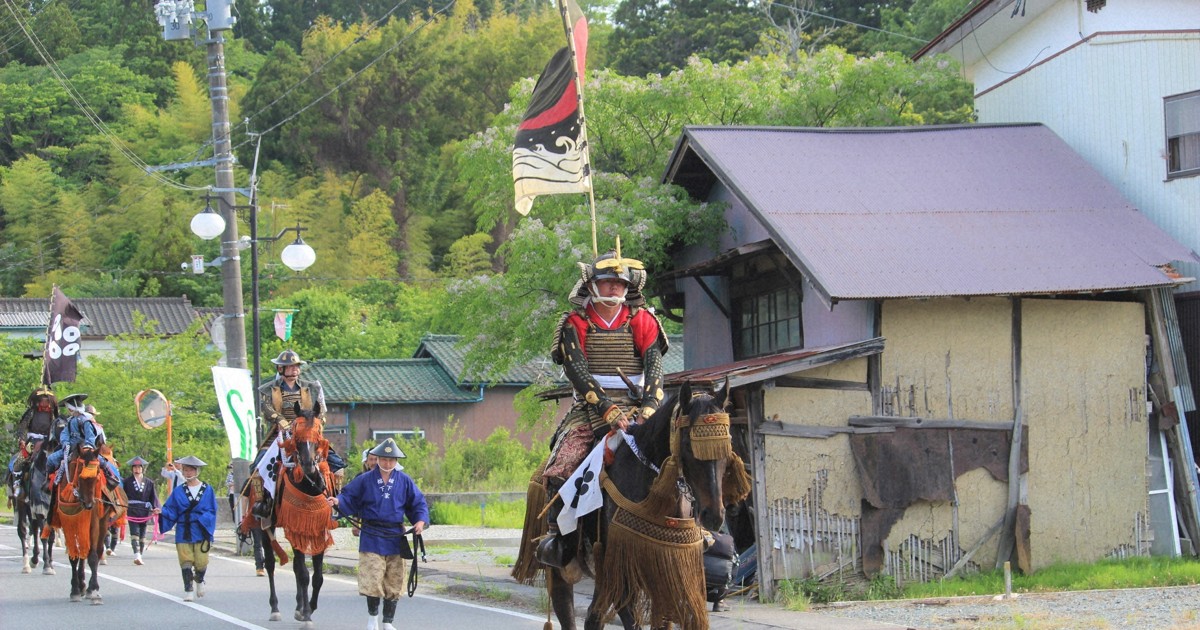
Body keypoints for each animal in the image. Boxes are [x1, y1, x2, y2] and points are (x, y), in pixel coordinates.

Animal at [53, 455, 126, 604]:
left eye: (97, 474)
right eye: (80, 474)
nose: (89, 504)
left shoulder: (93, 523)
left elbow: (92, 556)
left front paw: (93, 589)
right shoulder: (69, 523)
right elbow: (74, 555)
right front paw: (75, 590)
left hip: (103, 521)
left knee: (97, 550)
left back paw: (90, 586)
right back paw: (81, 585)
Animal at [241, 402, 337, 628]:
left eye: (318, 433)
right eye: (295, 435)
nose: (309, 465)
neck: (310, 485)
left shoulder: (317, 527)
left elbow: (317, 576)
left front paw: (308, 608)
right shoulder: (294, 524)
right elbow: (303, 574)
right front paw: (307, 615)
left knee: (294, 566)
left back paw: (298, 606)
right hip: (265, 521)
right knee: (270, 564)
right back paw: (275, 609)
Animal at [514, 380, 753, 630]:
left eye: (728, 444)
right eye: (688, 444)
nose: (714, 515)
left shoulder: (667, 566)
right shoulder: (623, 568)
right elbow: (631, 618)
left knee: (593, 616)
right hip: (567, 561)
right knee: (566, 604)